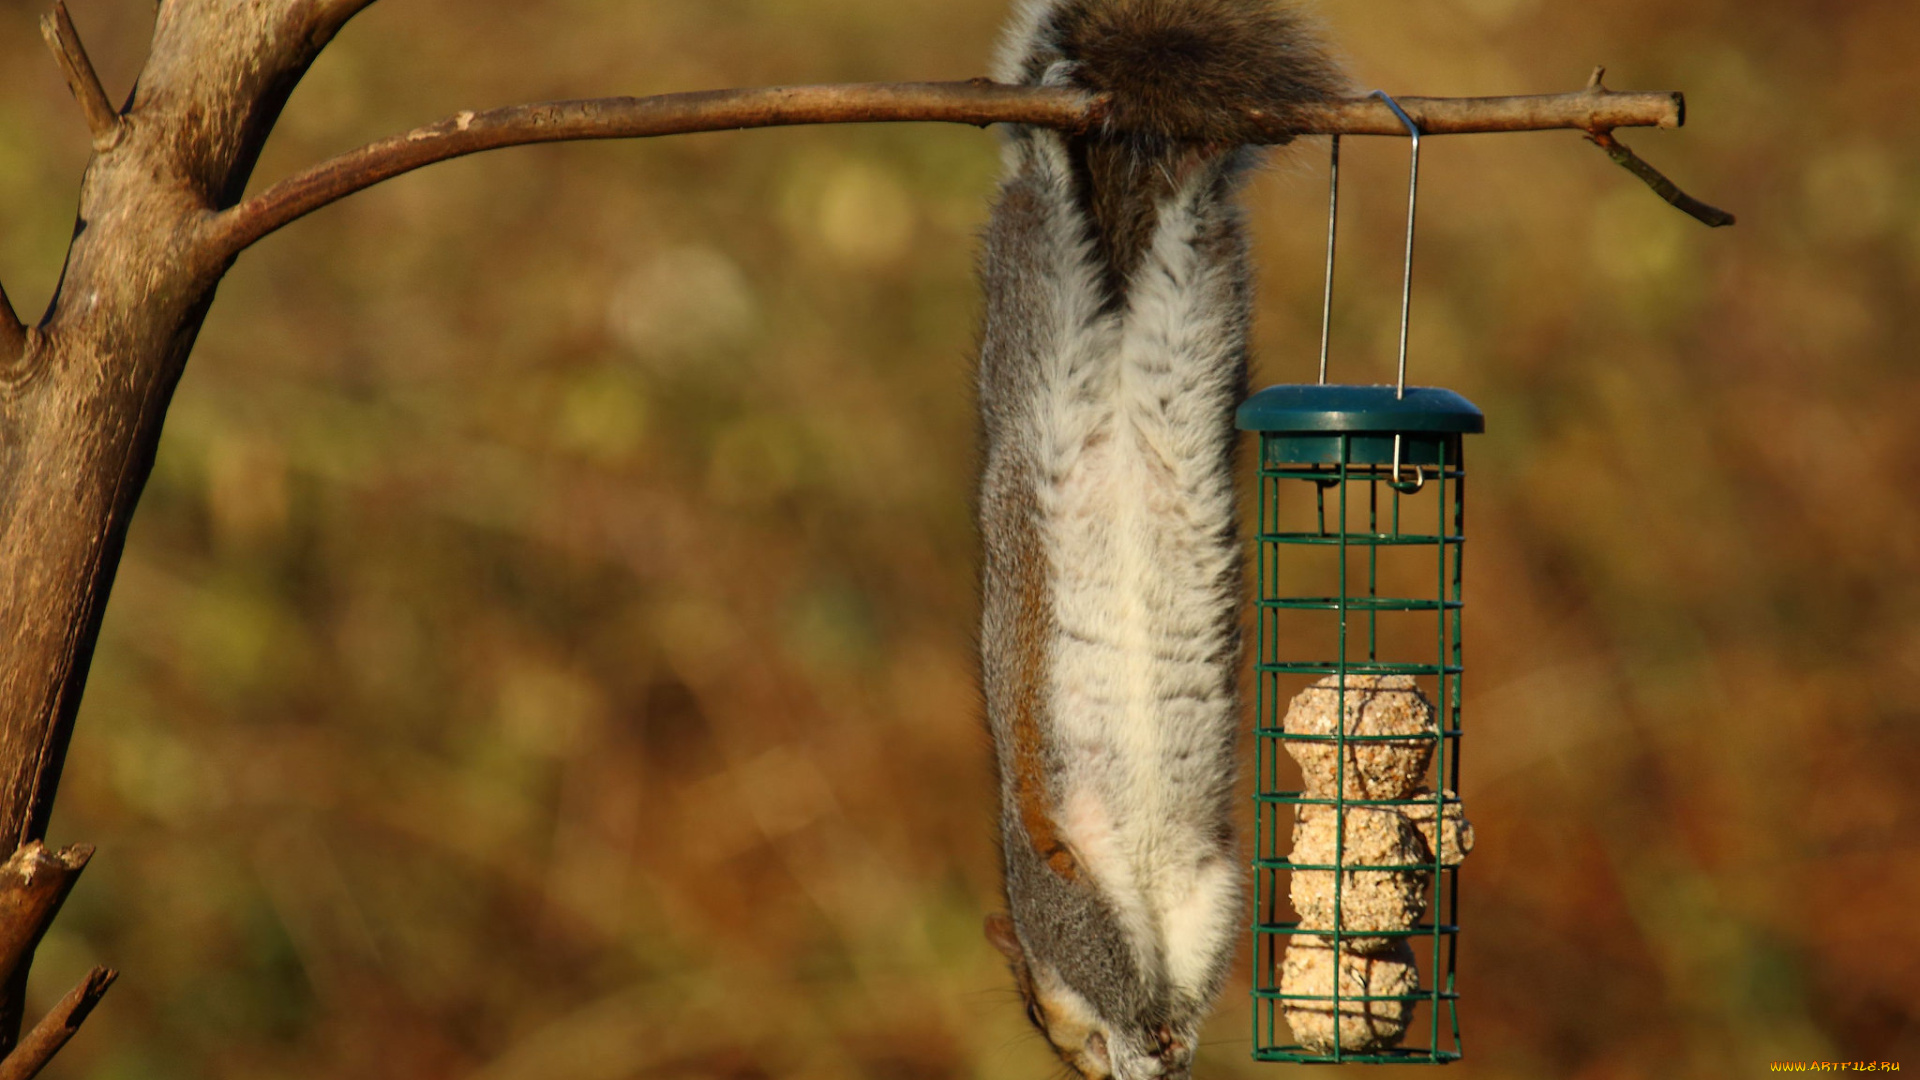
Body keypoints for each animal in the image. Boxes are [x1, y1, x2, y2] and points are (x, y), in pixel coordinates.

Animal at [975, 4, 1351, 1068]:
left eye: (1036, 1018)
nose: (1075, 1065)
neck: (1143, 884)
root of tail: (1110, 392)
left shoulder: (1073, 892)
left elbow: (1110, 966)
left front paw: (1142, 1040)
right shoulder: (1199, 892)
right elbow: (1180, 976)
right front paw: (1165, 1042)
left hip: (1034, 319)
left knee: (1045, 221)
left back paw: (1054, 144)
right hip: (1186, 319)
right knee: (1189, 220)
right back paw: (1201, 159)